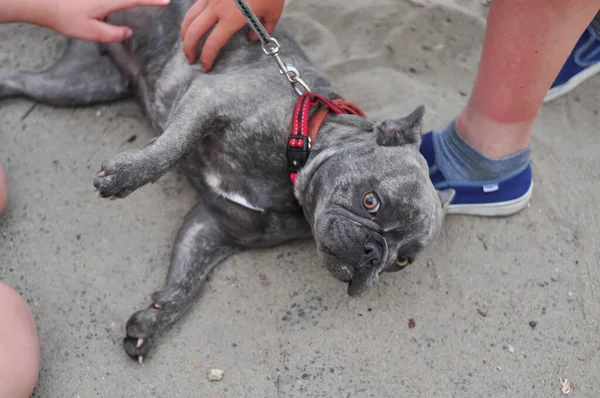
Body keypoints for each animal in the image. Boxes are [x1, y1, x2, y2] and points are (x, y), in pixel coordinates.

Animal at [0, 0, 450, 360]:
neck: (301, 142)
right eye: (370, 201)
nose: (374, 255)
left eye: (402, 262)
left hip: (82, 83)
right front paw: (127, 175)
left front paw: (155, 318)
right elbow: (173, 146)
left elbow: (187, 282)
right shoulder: (210, 97)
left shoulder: (212, 227)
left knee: (19, 79)